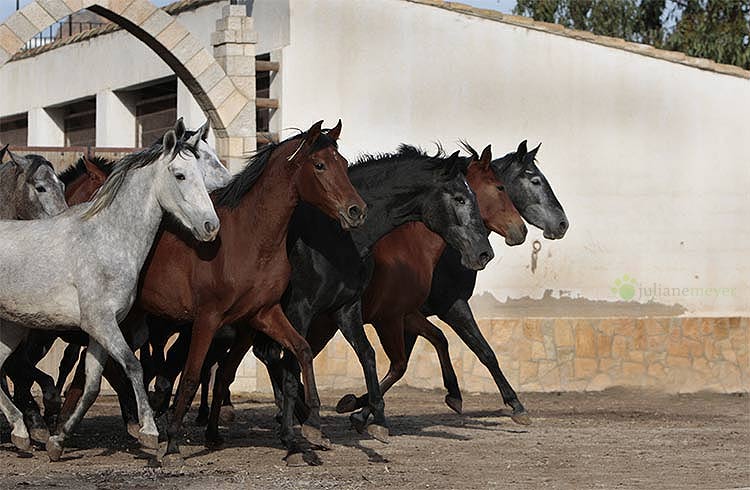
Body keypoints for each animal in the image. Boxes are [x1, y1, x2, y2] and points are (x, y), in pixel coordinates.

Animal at [0, 126, 220, 460]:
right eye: (181, 175)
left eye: (201, 171)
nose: (211, 226)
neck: (105, 239)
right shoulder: (101, 323)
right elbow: (133, 366)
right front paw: (149, 432)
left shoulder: (99, 330)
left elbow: (91, 385)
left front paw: (57, 441)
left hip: (11, 328)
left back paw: (22, 433)